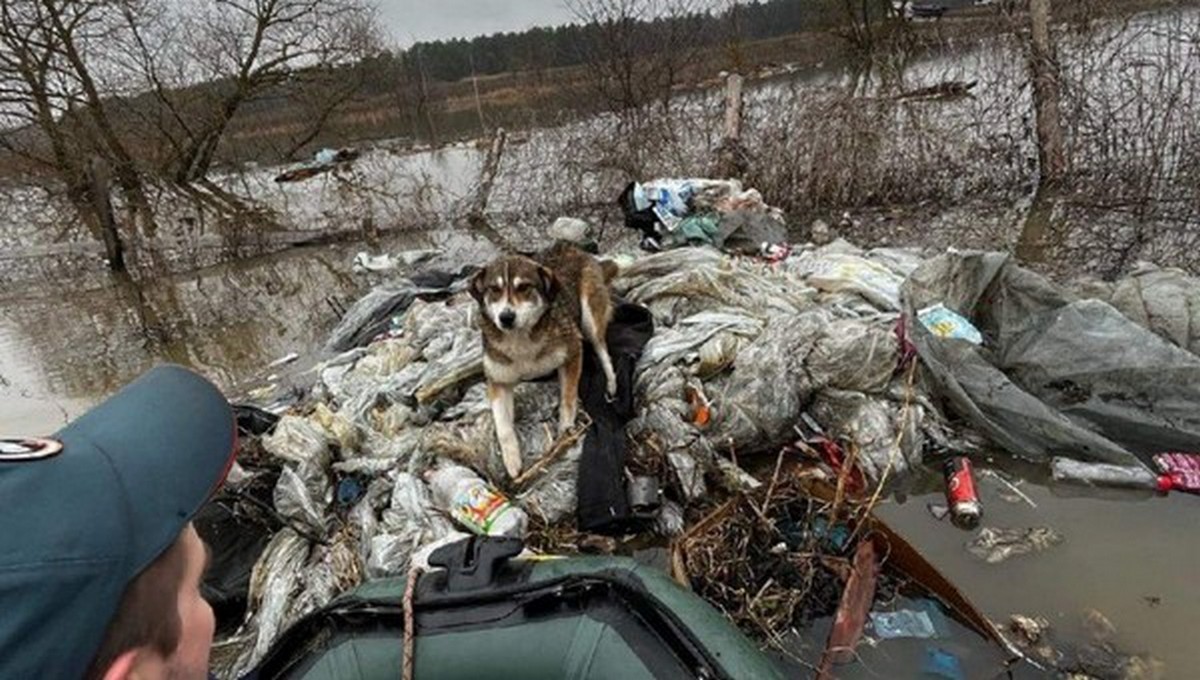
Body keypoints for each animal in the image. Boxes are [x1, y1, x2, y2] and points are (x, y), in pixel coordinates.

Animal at [470, 242, 619, 477]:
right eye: (494, 289)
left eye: (524, 287)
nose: (506, 317)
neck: (521, 340)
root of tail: (571, 247)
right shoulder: (498, 380)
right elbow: (502, 425)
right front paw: (512, 461)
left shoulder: (572, 352)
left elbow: (568, 399)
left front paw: (564, 433)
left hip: (589, 316)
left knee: (602, 348)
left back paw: (611, 382)